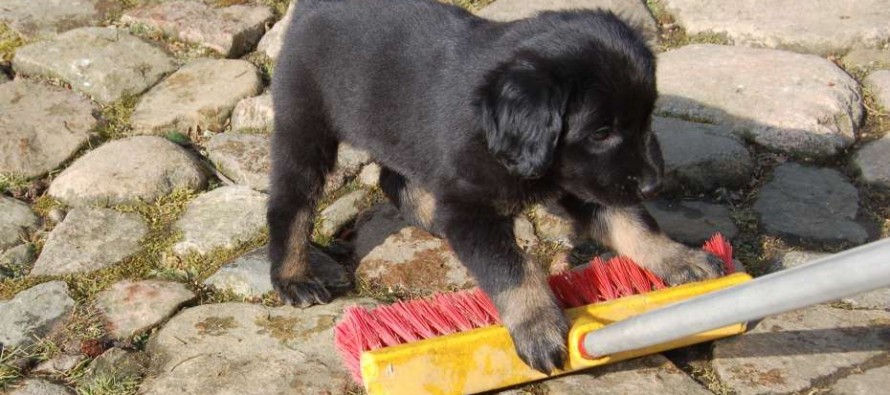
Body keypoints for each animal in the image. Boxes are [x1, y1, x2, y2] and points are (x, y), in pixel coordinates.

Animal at [266, 0, 720, 374]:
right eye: (601, 132)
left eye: (647, 118)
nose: (653, 185)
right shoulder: (473, 208)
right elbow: (511, 267)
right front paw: (537, 325)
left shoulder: (588, 183)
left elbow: (633, 224)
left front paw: (680, 258)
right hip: (304, 125)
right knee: (291, 201)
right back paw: (293, 277)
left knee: (393, 177)